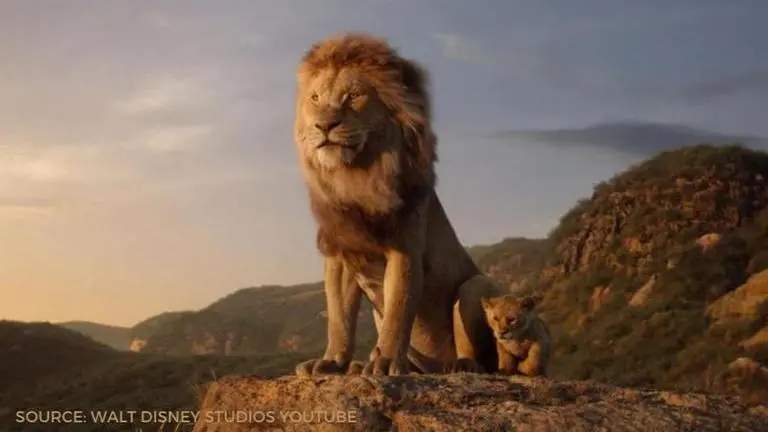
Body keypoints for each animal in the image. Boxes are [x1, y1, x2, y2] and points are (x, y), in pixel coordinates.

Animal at [292, 32, 505, 376]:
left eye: (354, 96)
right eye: (315, 98)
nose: (323, 125)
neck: (356, 177)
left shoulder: (404, 247)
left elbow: (398, 308)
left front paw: (387, 361)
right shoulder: (340, 254)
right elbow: (339, 318)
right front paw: (332, 361)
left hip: (475, 286)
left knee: (483, 358)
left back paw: (461, 365)